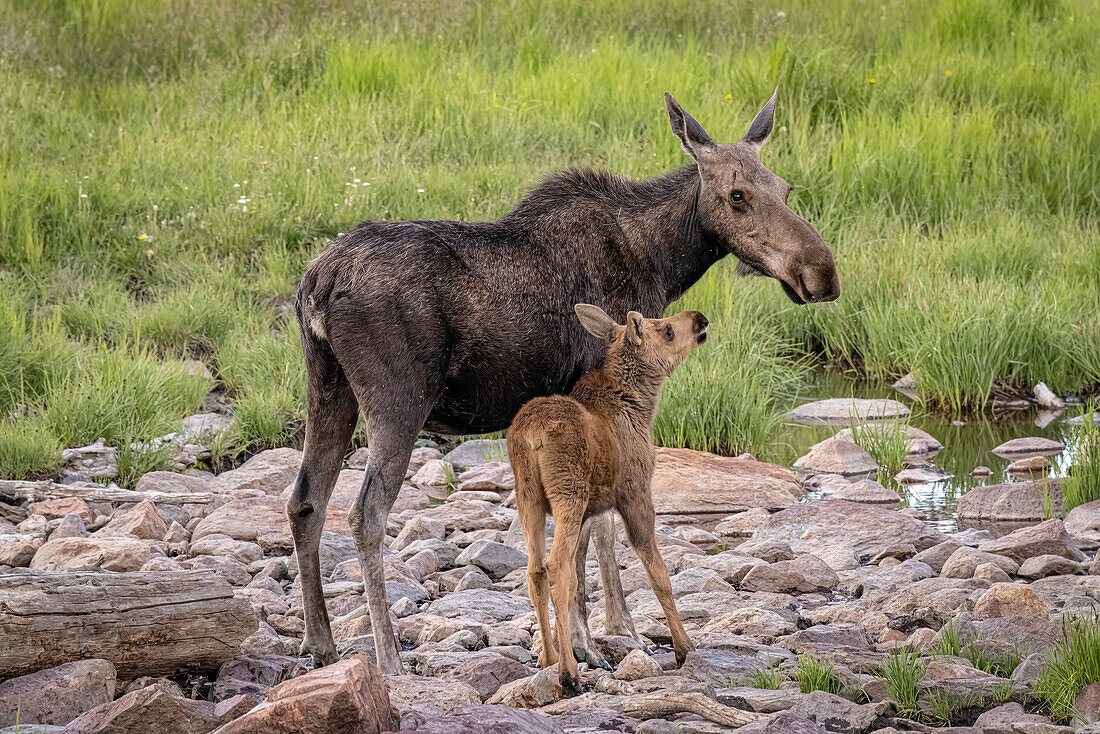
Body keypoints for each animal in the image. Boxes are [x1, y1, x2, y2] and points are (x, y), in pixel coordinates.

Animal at [510, 303, 708, 695]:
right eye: (666, 330)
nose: (700, 319)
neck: (641, 405)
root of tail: (530, 437)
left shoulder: (594, 509)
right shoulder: (636, 492)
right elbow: (658, 573)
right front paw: (683, 647)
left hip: (529, 498)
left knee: (535, 570)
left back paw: (549, 659)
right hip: (568, 493)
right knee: (556, 567)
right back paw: (569, 673)